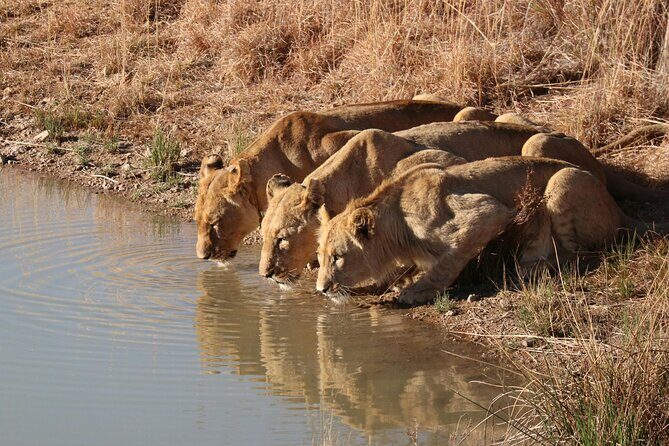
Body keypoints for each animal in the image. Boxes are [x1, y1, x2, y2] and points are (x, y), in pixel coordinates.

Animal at [315, 157, 666, 304]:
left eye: (338, 257)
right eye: (319, 258)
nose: (320, 289)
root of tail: (618, 209)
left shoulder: (487, 213)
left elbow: (446, 262)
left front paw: (413, 292)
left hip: (562, 182)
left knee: (581, 254)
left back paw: (533, 265)